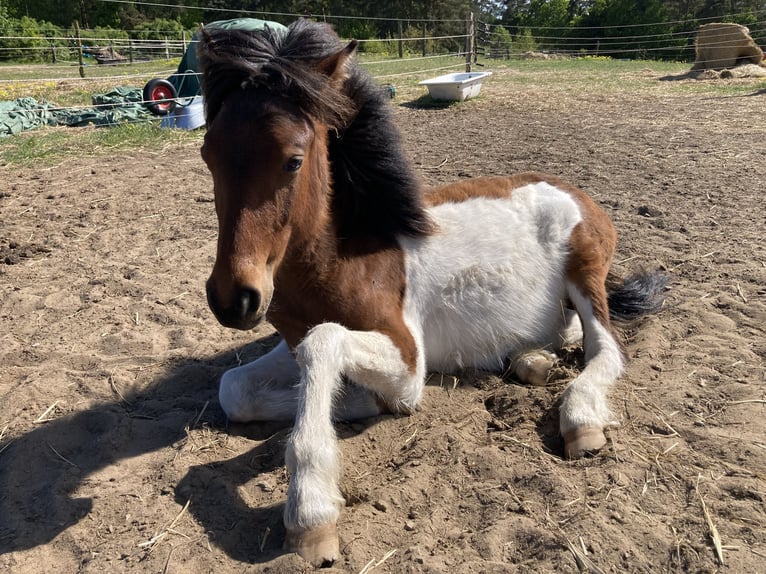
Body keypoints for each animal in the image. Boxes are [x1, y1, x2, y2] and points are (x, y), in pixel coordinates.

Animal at [196, 20, 664, 568]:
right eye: (207, 154)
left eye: (293, 161)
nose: (234, 300)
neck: (345, 259)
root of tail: (571, 189)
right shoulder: (288, 341)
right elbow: (235, 388)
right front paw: (351, 402)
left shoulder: (404, 357)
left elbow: (326, 346)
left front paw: (311, 507)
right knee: (565, 333)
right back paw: (532, 360)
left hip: (586, 271)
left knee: (605, 348)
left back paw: (580, 418)